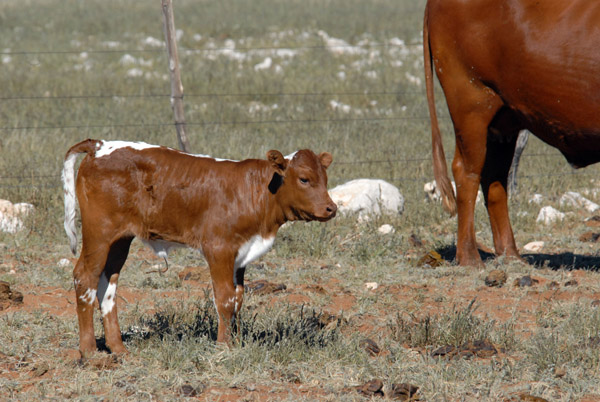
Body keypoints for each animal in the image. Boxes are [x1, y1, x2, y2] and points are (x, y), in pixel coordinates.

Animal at [62, 140, 338, 356]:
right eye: (304, 179)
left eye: (325, 179)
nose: (331, 208)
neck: (256, 192)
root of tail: (99, 145)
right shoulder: (219, 249)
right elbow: (224, 299)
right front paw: (224, 347)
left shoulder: (241, 254)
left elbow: (238, 298)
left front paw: (237, 343)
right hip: (99, 233)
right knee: (84, 277)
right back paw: (89, 352)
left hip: (119, 240)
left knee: (107, 284)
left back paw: (118, 349)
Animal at [424, 0, 600, 266]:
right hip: (470, 103)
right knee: (467, 172)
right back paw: (470, 257)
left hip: (503, 121)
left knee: (494, 179)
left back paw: (510, 254)